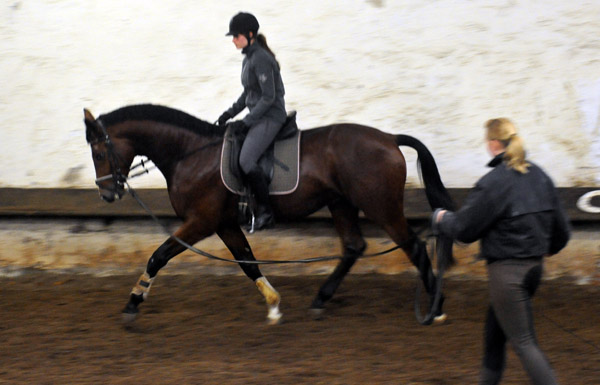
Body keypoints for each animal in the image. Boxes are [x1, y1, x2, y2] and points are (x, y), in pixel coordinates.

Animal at [83, 103, 450, 322]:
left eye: (99, 153)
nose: (107, 193)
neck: (191, 154)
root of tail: (388, 138)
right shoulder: (224, 223)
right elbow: (247, 262)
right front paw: (273, 304)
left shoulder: (201, 221)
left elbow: (158, 256)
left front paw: (133, 302)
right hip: (340, 203)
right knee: (353, 247)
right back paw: (320, 299)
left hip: (381, 207)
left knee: (413, 247)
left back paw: (436, 308)